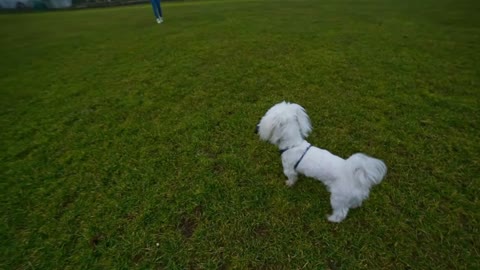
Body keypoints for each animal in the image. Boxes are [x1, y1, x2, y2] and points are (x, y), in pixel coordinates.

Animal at [255, 102, 386, 223]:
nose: (256, 129)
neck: (293, 144)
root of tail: (355, 174)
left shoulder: (289, 169)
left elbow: (292, 177)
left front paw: (289, 184)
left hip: (338, 197)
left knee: (341, 212)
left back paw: (332, 219)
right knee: (356, 201)